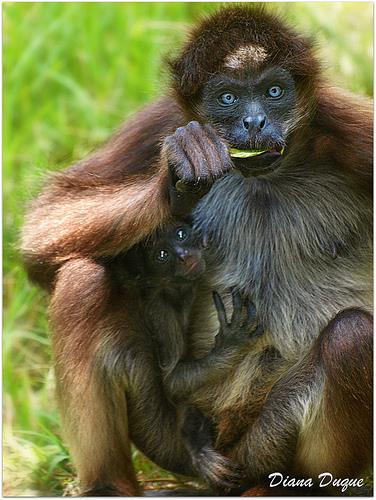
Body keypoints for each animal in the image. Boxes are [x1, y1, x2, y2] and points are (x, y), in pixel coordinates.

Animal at [107, 224, 262, 492]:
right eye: (161, 255)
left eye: (181, 234)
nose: (183, 255)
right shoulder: (160, 310)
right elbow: (171, 382)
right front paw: (228, 346)